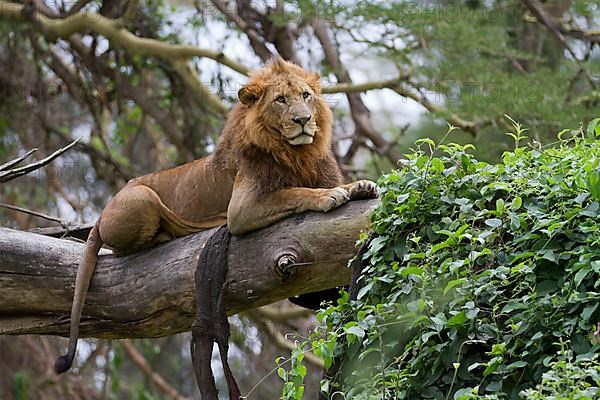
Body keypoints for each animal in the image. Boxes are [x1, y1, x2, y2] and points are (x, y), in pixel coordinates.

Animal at [54, 57, 378, 374]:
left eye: (306, 96)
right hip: (142, 196)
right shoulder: (242, 209)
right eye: (281, 100)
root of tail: (100, 217)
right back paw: (163, 235)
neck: (299, 153)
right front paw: (328, 196)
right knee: (121, 250)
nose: (303, 120)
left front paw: (358, 186)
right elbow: (294, 192)